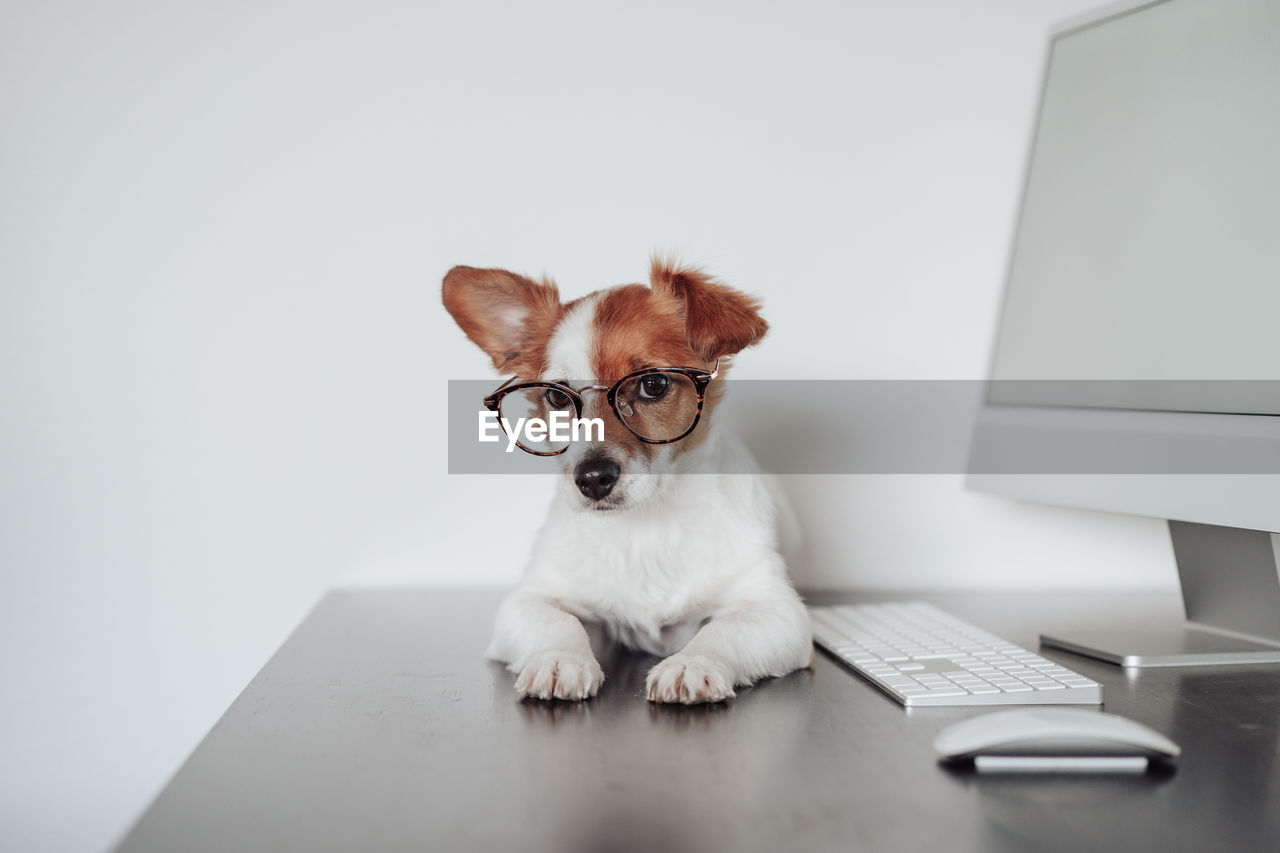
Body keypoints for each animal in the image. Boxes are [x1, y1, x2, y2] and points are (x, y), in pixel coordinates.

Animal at [445, 258, 814, 701]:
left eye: (653, 384)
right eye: (557, 397)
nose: (592, 479)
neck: (645, 526)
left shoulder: (779, 611)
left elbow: (726, 630)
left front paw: (693, 663)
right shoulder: (530, 600)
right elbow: (557, 622)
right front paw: (560, 659)